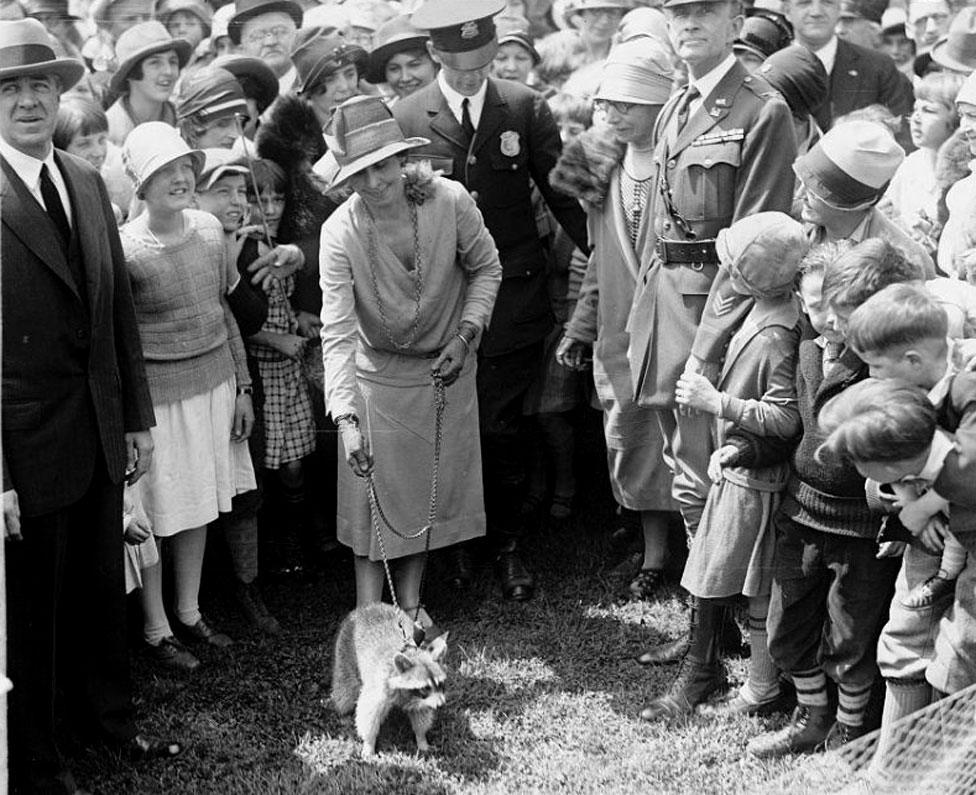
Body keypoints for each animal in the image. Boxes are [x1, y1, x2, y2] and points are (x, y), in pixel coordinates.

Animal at [330, 608, 448, 756]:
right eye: (425, 688)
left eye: (439, 684)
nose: (441, 705)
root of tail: (366, 607)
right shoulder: (380, 685)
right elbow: (368, 712)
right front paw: (369, 743)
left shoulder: (421, 700)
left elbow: (421, 713)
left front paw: (421, 738)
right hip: (345, 651)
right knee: (346, 688)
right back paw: (344, 712)